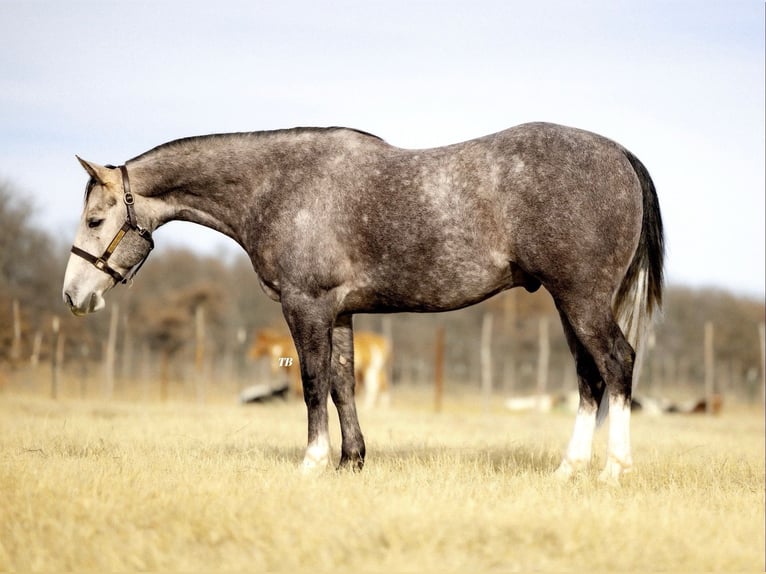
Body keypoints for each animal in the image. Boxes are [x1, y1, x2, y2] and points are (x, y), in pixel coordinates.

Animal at [252, 328, 392, 410]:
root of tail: (381, 340)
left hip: (370, 369)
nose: (273, 369)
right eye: (269, 352)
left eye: (259, 343)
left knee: (373, 386)